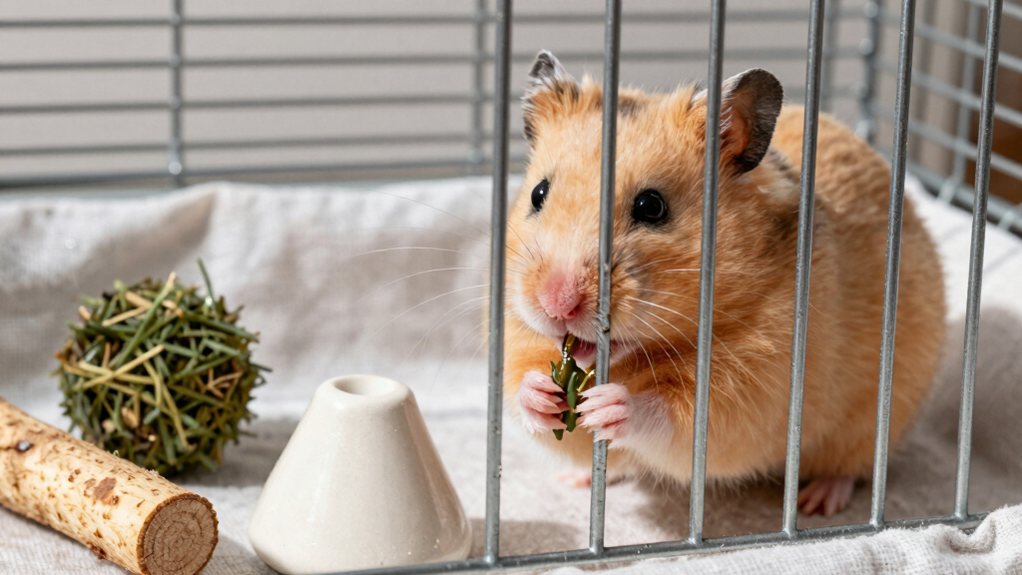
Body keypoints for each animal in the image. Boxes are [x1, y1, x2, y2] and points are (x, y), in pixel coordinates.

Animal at [503, 51, 946, 516]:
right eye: (537, 193)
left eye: (651, 206)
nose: (557, 304)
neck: (641, 355)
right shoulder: (518, 337)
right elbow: (522, 388)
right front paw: (541, 395)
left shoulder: (756, 383)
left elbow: (673, 416)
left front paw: (609, 404)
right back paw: (579, 479)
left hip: (876, 419)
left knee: (852, 467)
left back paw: (818, 501)